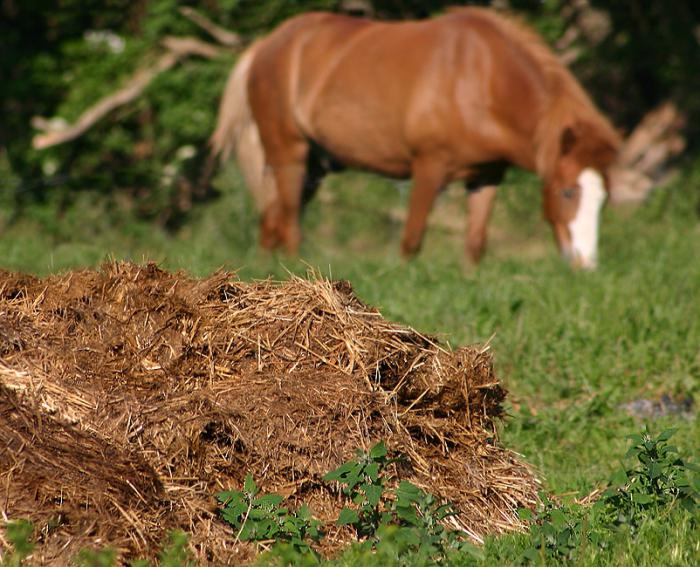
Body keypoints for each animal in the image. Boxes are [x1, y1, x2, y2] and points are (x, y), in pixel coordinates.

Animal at [211, 6, 620, 268]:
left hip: (314, 165)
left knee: (272, 220)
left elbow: (475, 244)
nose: (586, 264)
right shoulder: (428, 168)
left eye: (603, 199)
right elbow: (411, 240)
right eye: (567, 192)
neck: (480, 79)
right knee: (290, 222)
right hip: (288, 153)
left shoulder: (486, 176)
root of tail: (265, 45)